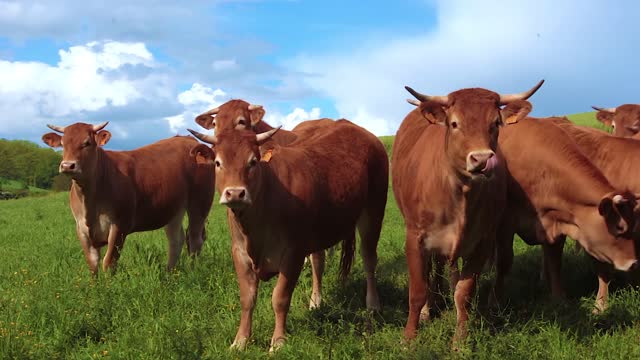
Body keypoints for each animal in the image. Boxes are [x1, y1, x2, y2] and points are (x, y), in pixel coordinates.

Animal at [40, 122, 215, 274]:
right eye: (63, 144)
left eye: (87, 143)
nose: (67, 165)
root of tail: (187, 139)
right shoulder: (81, 228)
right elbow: (93, 263)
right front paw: (94, 288)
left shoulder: (120, 225)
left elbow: (109, 262)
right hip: (174, 209)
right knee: (176, 241)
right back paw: (169, 274)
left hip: (200, 204)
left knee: (194, 240)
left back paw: (192, 272)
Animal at [396, 79, 544, 346]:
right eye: (455, 123)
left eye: (495, 123)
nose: (482, 159)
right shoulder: (414, 237)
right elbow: (417, 289)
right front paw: (409, 337)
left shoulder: (481, 241)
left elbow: (463, 292)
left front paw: (460, 340)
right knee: (431, 270)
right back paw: (428, 309)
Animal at [492, 112, 636, 312]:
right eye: (619, 228)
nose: (634, 263)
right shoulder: (506, 223)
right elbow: (504, 262)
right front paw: (498, 302)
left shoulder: (556, 221)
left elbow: (554, 262)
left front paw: (559, 298)